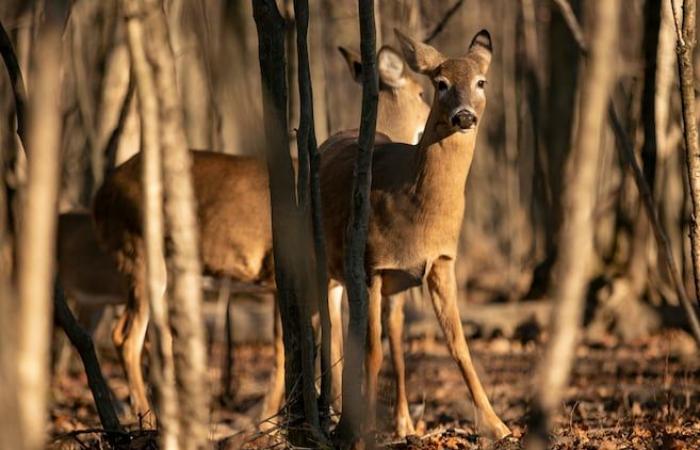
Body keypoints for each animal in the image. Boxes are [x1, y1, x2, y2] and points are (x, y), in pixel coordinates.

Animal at [90, 45, 430, 426]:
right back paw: (145, 417)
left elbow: (332, 345)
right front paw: (273, 417)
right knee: (125, 336)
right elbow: (289, 348)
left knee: (152, 336)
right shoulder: (294, 272)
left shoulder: (331, 283)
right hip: (138, 250)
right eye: (422, 92)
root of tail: (100, 195)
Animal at [320, 29, 512, 438]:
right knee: (323, 331)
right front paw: (364, 432)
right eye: (439, 84)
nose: (464, 115)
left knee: (373, 335)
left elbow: (457, 345)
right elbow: (371, 351)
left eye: (481, 82)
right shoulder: (372, 265)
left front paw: (498, 425)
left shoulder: (440, 262)